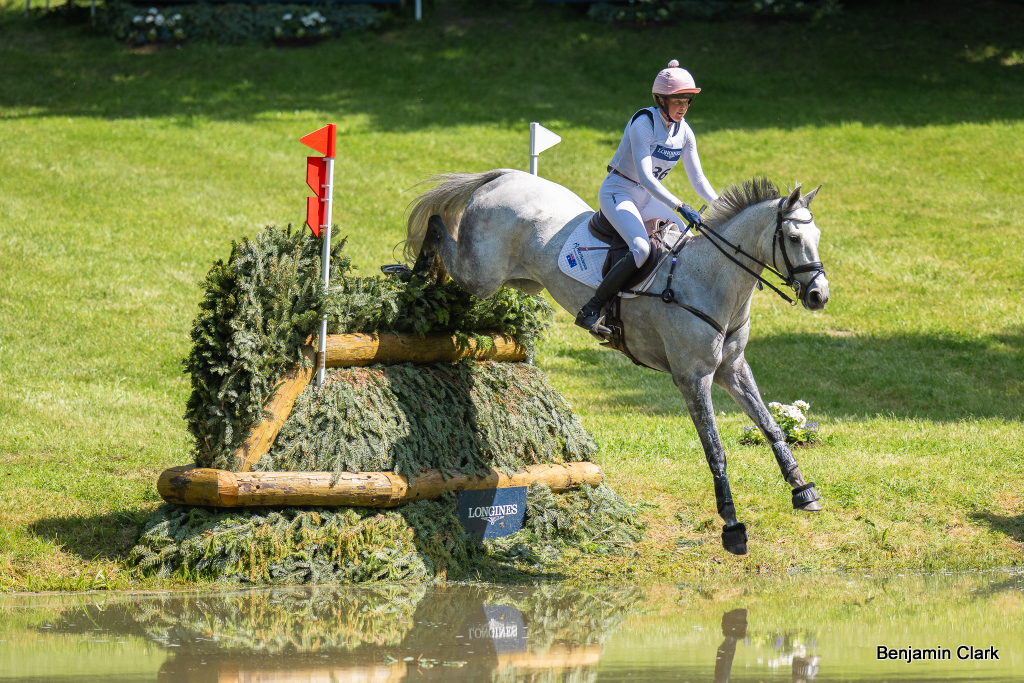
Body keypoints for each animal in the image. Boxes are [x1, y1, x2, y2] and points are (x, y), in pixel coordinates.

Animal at [404, 169, 830, 555]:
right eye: (794, 239)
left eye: (818, 238)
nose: (818, 296)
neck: (711, 280)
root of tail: (503, 177)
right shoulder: (693, 378)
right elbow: (716, 450)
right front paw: (731, 523)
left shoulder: (733, 369)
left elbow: (771, 426)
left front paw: (802, 490)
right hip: (482, 276)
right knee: (439, 227)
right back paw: (416, 275)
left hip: (516, 280)